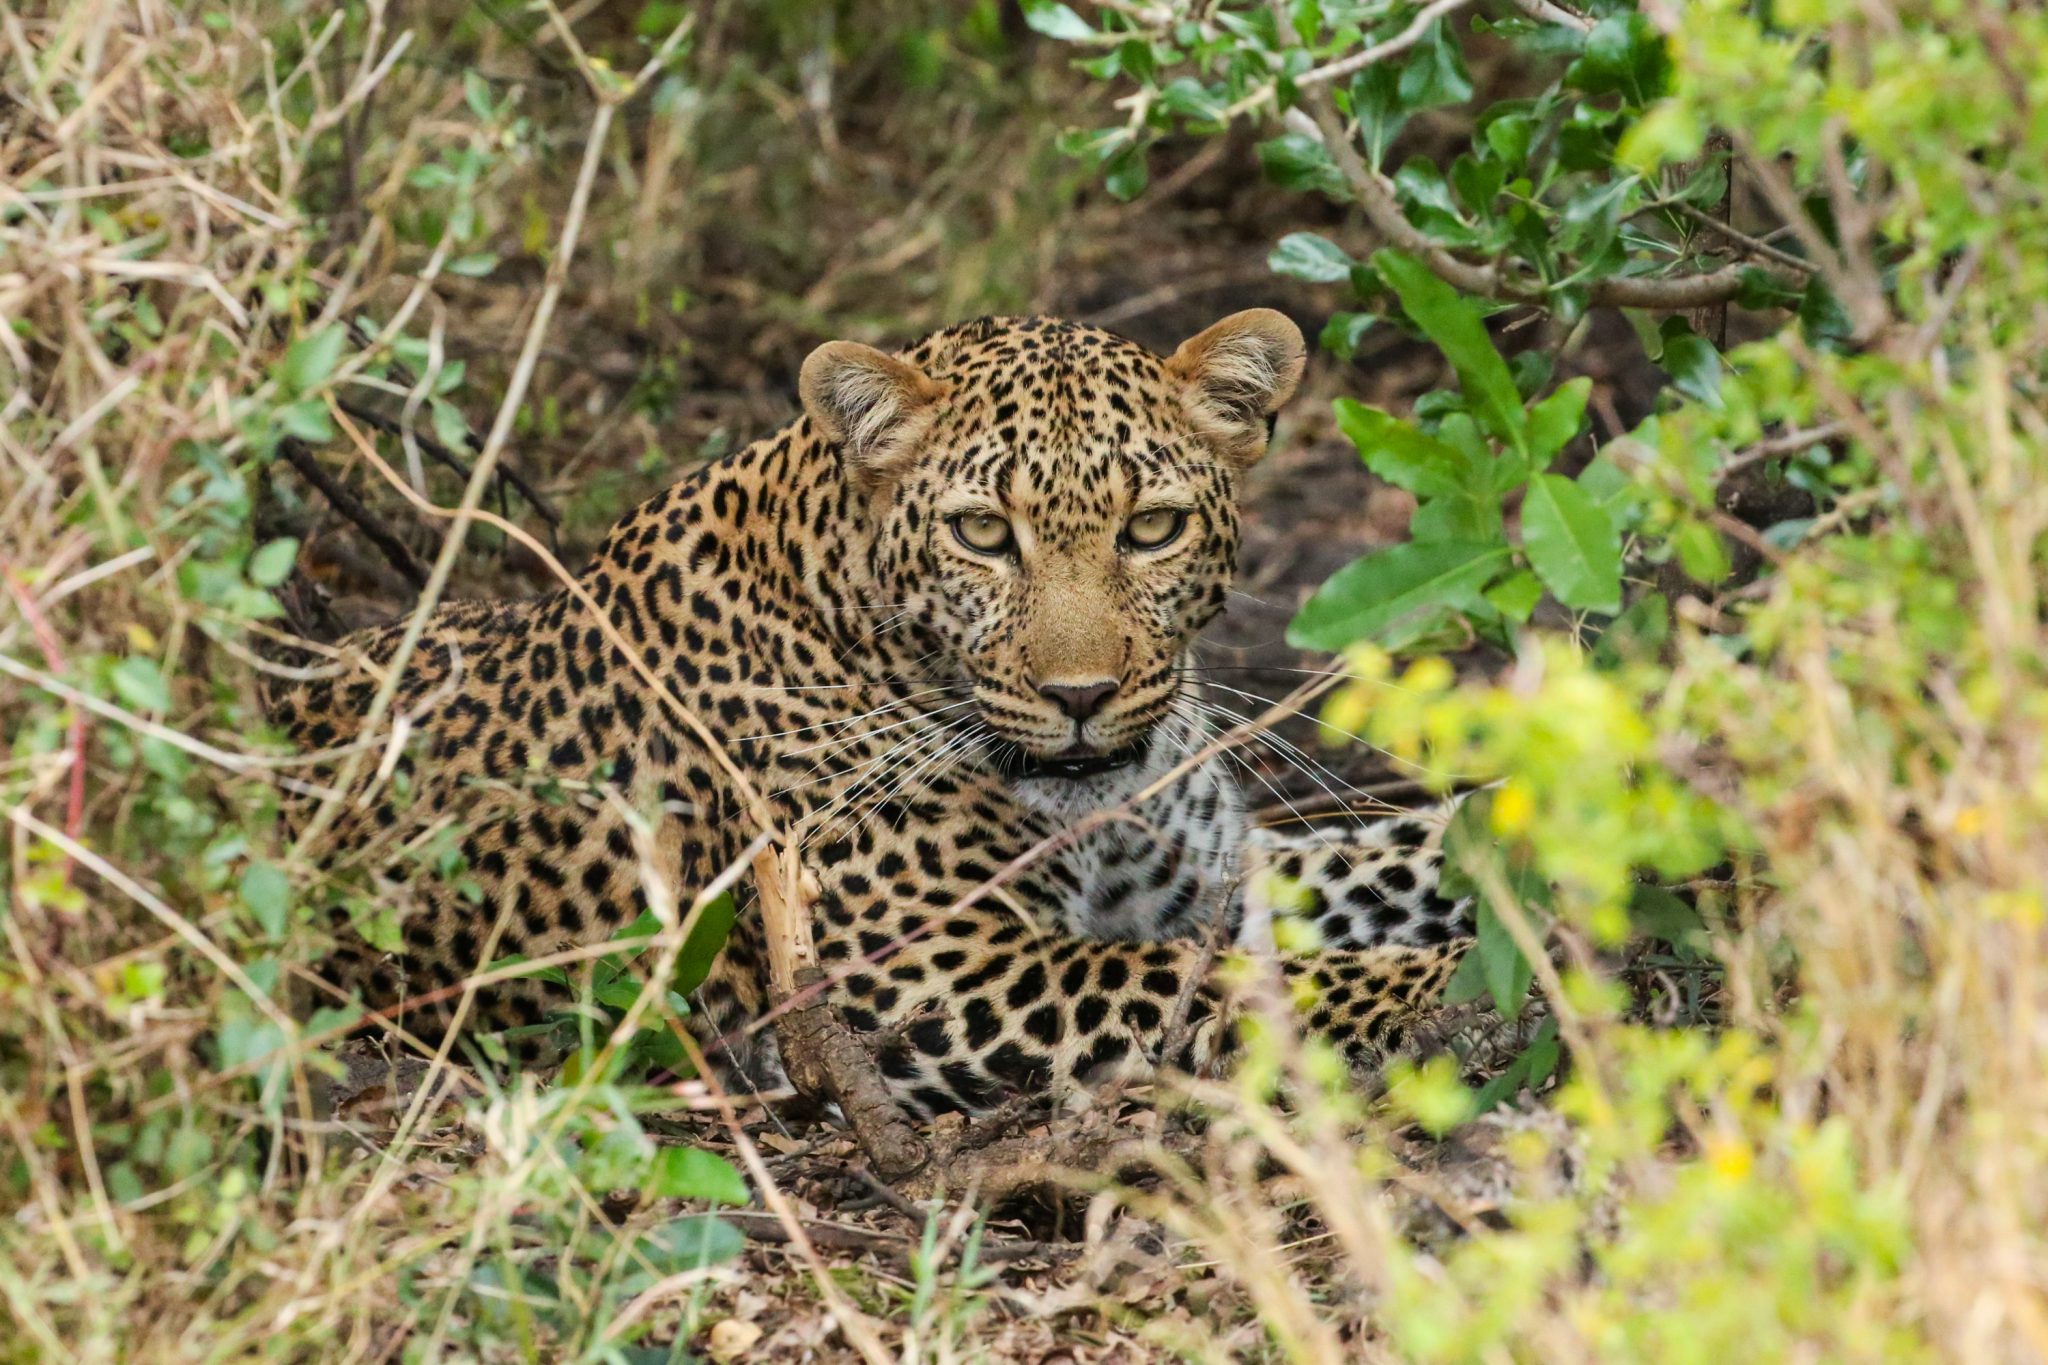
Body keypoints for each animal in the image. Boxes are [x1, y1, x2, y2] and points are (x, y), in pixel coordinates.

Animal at [271, 310, 1475, 1117]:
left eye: (1151, 529)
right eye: (983, 533)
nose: (1079, 698)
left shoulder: (1214, 877)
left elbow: (1419, 856)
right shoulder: (922, 967)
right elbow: (1222, 982)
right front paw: (1455, 983)